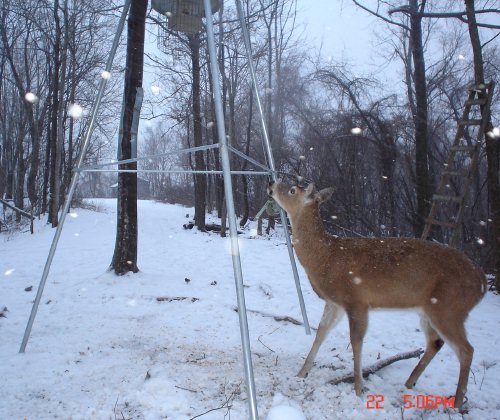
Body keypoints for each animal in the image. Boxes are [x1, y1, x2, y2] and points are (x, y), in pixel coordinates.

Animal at [268, 180, 486, 410]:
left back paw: (458, 402)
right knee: (436, 342)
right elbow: (321, 332)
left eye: (292, 190)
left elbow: (356, 341)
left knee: (466, 350)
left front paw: (358, 388)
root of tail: (482, 283)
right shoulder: (334, 302)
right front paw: (301, 373)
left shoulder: (357, 300)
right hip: (428, 310)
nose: (272, 183)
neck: (326, 257)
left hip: (449, 308)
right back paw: (410, 383)